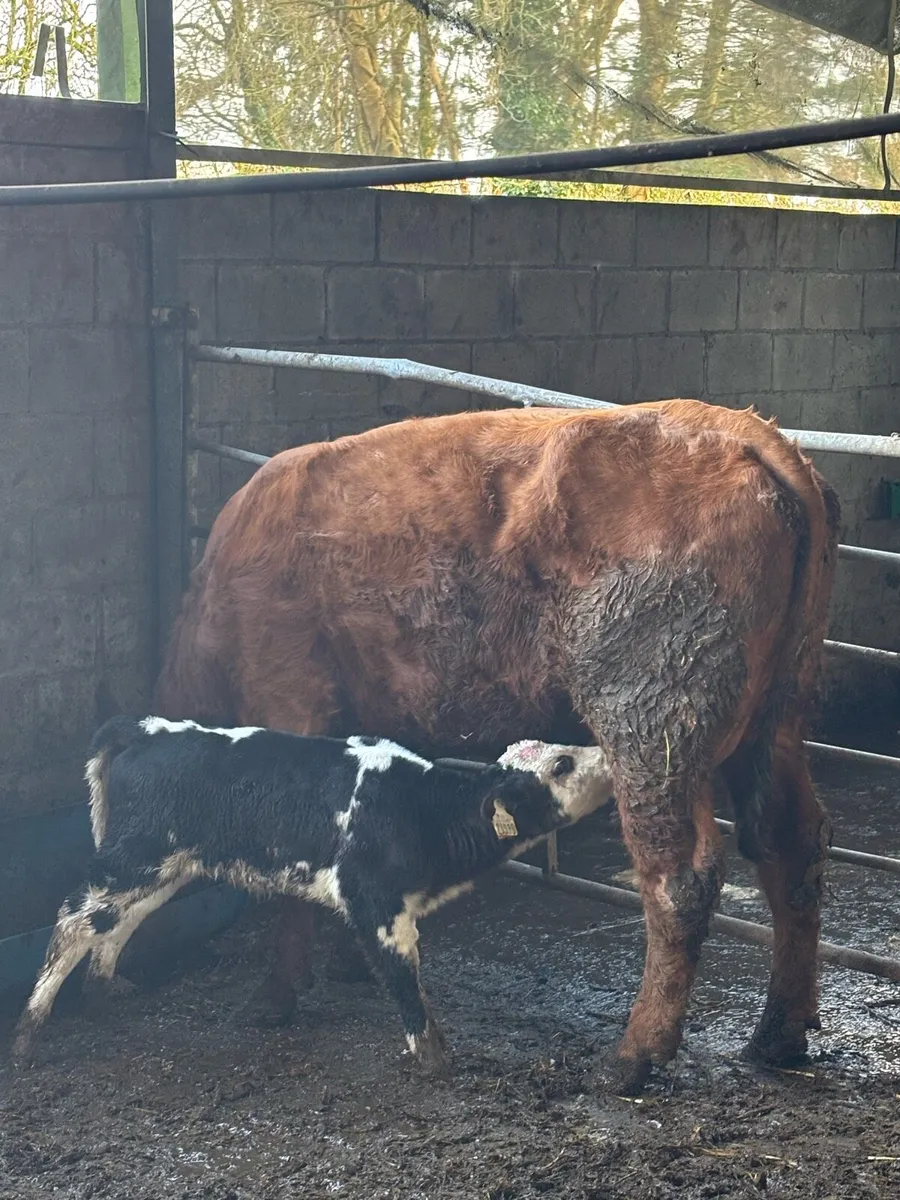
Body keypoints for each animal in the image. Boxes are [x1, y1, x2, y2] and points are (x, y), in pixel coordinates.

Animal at [10, 719, 613, 1076]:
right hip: (136, 855)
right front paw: (433, 1058)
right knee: (73, 918)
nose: (609, 757)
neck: (418, 807)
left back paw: (103, 992)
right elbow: (404, 979)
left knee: (118, 920)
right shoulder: (374, 904)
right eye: (561, 765)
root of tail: (146, 729)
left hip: (164, 864)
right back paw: (28, 1033)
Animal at [154, 399, 840, 1094]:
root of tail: (747, 433)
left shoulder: (289, 700)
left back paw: (635, 1054)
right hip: (778, 718)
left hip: (652, 722)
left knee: (680, 877)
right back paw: (778, 1035)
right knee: (790, 846)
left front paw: (273, 996)